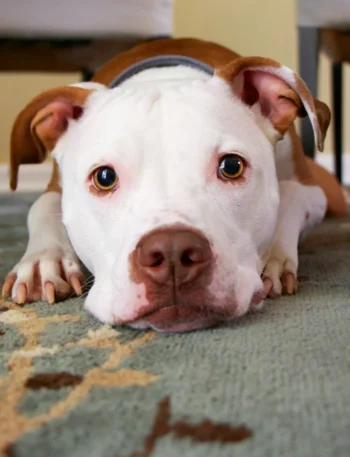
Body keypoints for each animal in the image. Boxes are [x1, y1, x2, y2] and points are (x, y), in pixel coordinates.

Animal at [2, 38, 348, 332]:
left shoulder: (313, 191)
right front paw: (43, 261)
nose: (171, 252)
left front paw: (274, 258)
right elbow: (41, 206)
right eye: (104, 177)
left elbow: (290, 195)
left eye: (231, 166)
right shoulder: (54, 188)